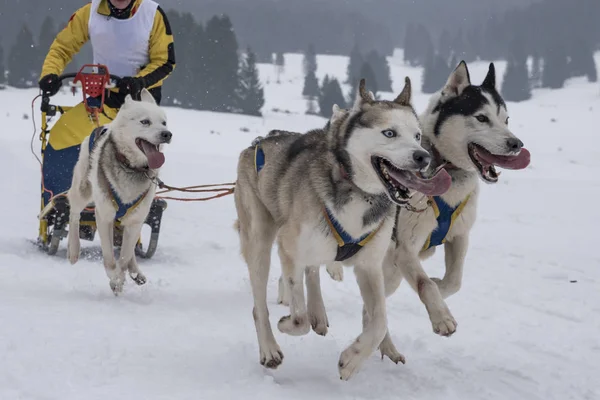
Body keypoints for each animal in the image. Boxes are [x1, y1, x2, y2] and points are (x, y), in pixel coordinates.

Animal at [66, 89, 172, 294]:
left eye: (164, 122)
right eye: (145, 122)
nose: (167, 134)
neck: (132, 167)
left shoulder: (136, 220)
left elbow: (123, 257)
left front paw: (121, 277)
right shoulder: (104, 216)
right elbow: (109, 258)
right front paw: (115, 279)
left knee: (128, 250)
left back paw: (136, 272)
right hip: (82, 191)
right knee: (74, 214)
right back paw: (73, 250)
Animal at [232, 77, 452, 378]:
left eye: (417, 135)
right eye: (389, 133)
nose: (423, 157)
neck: (359, 192)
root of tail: (259, 142)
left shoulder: (369, 266)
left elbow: (379, 320)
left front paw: (352, 359)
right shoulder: (289, 248)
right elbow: (298, 318)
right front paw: (287, 323)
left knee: (312, 272)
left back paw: (318, 311)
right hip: (260, 242)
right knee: (260, 306)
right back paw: (269, 348)